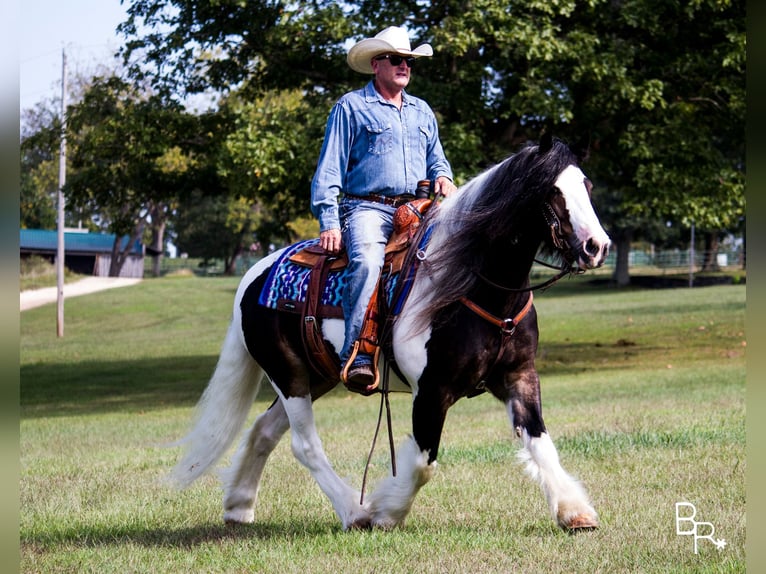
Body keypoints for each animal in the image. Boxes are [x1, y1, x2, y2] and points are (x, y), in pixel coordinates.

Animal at [172, 137, 612, 532]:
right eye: (551, 190)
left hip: (315, 376)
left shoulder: (519, 377)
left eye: (587, 186)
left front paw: (574, 512)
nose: (597, 246)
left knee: (265, 431)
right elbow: (422, 462)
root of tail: (254, 276)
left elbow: (540, 442)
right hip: (288, 375)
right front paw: (387, 512)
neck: (469, 282)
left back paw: (239, 506)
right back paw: (355, 512)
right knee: (304, 444)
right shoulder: (432, 390)